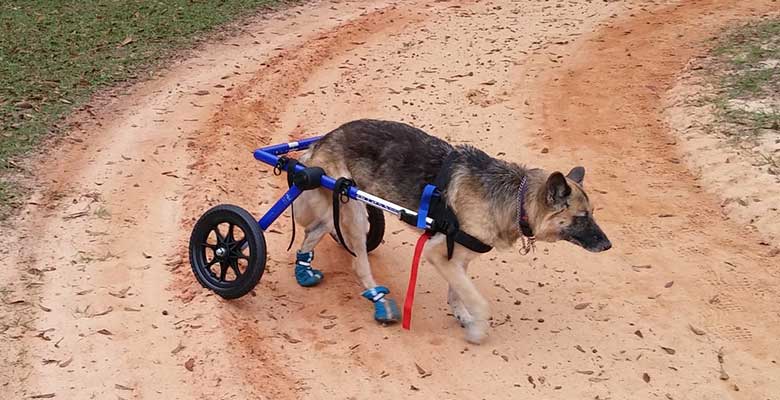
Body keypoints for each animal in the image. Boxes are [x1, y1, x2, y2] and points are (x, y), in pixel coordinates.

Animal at [290, 119, 608, 344]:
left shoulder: (458, 256)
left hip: (340, 207)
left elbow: (458, 292)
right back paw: (379, 302)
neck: (515, 197)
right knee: (358, 263)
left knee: (315, 230)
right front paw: (477, 330)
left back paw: (304, 270)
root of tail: (322, 140)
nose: (608, 246)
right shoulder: (438, 254)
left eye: (593, 214)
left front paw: (462, 315)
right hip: (353, 207)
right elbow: (479, 301)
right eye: (581, 217)